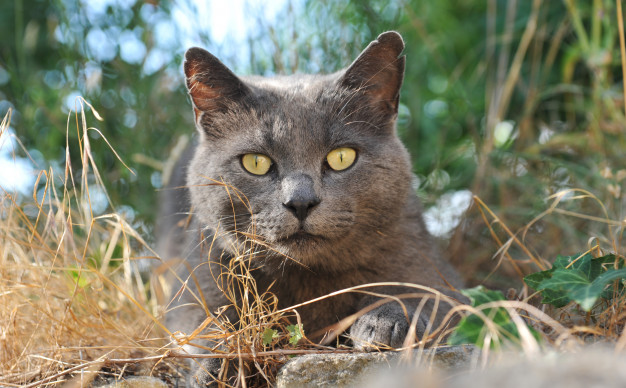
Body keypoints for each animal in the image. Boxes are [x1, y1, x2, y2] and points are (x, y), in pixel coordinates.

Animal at [157, 31, 464, 386]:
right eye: (256, 162)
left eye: (342, 157)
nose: (300, 201)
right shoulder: (197, 279)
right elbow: (206, 325)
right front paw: (219, 366)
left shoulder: (434, 270)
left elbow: (426, 296)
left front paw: (384, 323)